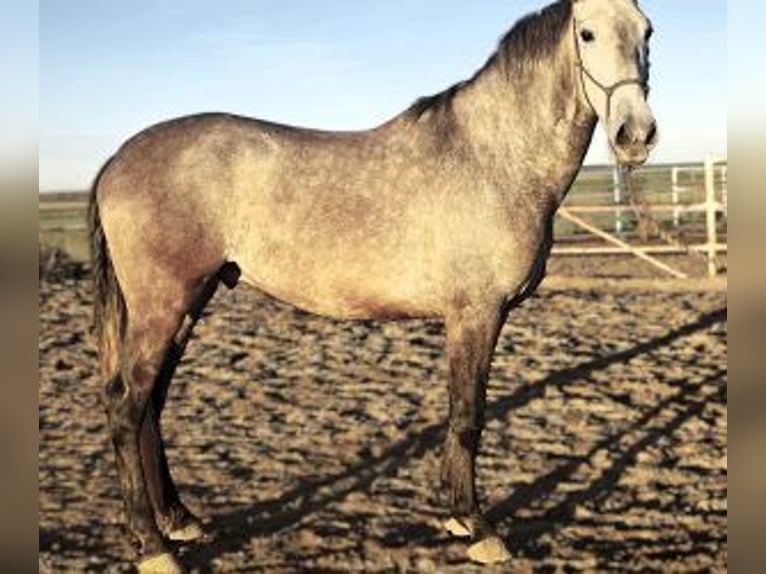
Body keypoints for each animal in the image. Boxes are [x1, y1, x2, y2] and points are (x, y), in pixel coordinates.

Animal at [87, 0, 656, 572]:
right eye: (587, 34)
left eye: (648, 31)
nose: (636, 134)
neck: (494, 158)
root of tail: (117, 160)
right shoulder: (476, 313)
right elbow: (468, 415)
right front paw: (476, 527)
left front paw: (456, 516)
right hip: (163, 306)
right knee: (127, 405)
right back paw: (153, 546)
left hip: (189, 302)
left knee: (152, 403)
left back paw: (179, 520)